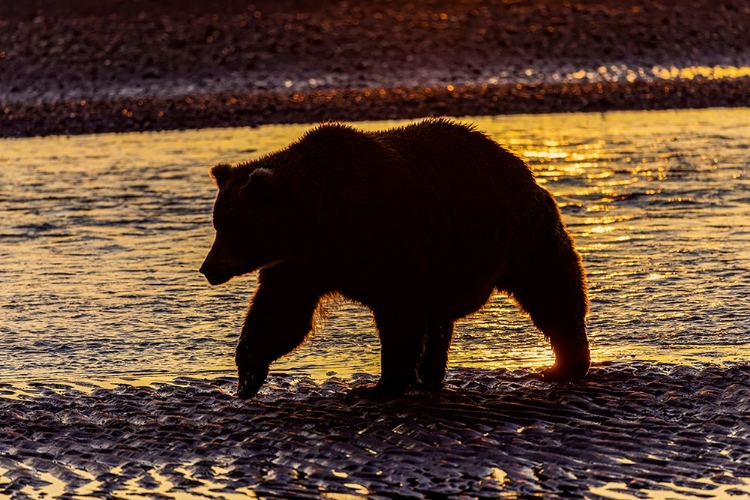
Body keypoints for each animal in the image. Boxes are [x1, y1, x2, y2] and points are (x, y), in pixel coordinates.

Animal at [203, 117, 592, 398]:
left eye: (234, 226)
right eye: (218, 222)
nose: (208, 269)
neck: (326, 222)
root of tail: (517, 163)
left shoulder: (390, 242)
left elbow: (398, 315)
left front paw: (377, 386)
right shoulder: (304, 265)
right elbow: (280, 314)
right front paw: (247, 375)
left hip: (518, 233)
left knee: (551, 290)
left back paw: (564, 365)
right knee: (442, 319)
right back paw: (431, 374)